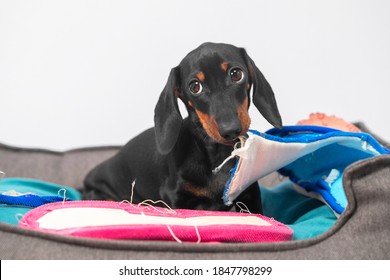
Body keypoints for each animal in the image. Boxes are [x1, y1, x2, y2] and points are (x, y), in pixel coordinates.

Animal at [84, 42, 282, 213]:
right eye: (195, 86)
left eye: (236, 74)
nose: (231, 129)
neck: (217, 155)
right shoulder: (174, 197)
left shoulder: (249, 193)